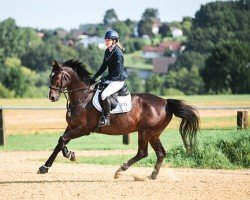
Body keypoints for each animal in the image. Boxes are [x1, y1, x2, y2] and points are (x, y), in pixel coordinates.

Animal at [38, 59, 199, 180]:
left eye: (59, 77)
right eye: (50, 76)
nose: (52, 97)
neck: (81, 98)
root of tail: (166, 102)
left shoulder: (84, 129)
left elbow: (63, 139)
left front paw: (47, 165)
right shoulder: (72, 126)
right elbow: (61, 141)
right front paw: (65, 155)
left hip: (145, 132)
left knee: (143, 153)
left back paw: (120, 171)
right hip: (154, 134)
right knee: (160, 153)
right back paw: (152, 175)